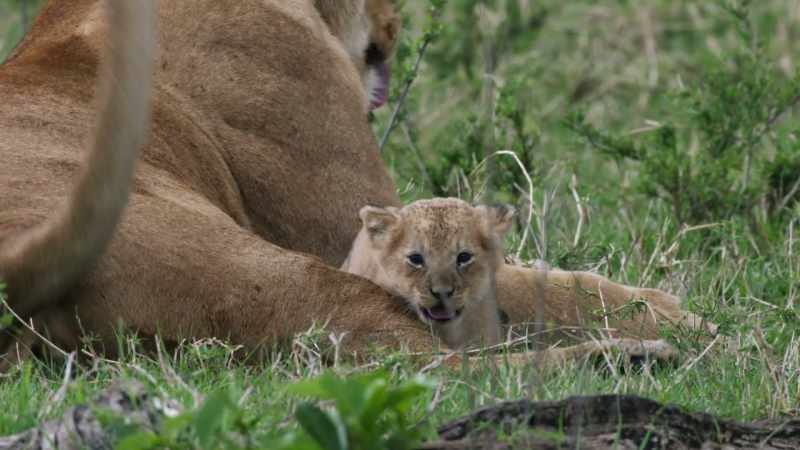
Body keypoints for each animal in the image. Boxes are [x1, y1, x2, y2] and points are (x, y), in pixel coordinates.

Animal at [0, 0, 709, 369]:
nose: (394, 23)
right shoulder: (363, 234)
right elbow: (537, 280)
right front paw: (676, 314)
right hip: (280, 274)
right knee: (442, 370)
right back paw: (636, 355)